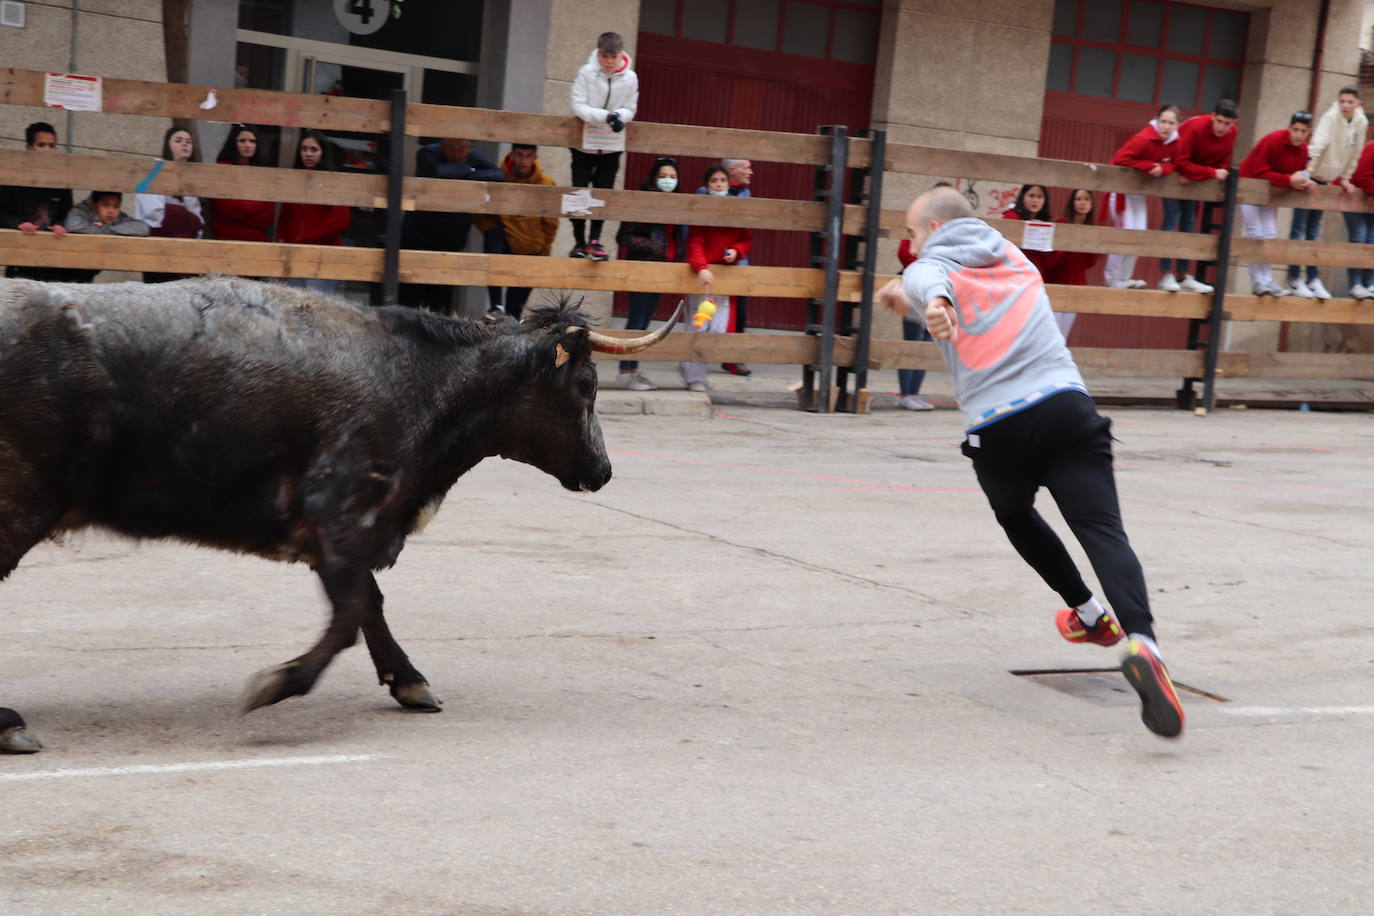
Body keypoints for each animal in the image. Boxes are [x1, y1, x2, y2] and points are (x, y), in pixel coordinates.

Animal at [0, 280, 687, 752]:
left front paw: (410, 682)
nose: (602, 471)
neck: (421, 376)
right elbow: (353, 610)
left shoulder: (346, 530)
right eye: (587, 386)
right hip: (16, 508)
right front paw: (277, 683)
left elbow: (369, 605)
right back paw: (10, 722)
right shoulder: (339, 514)